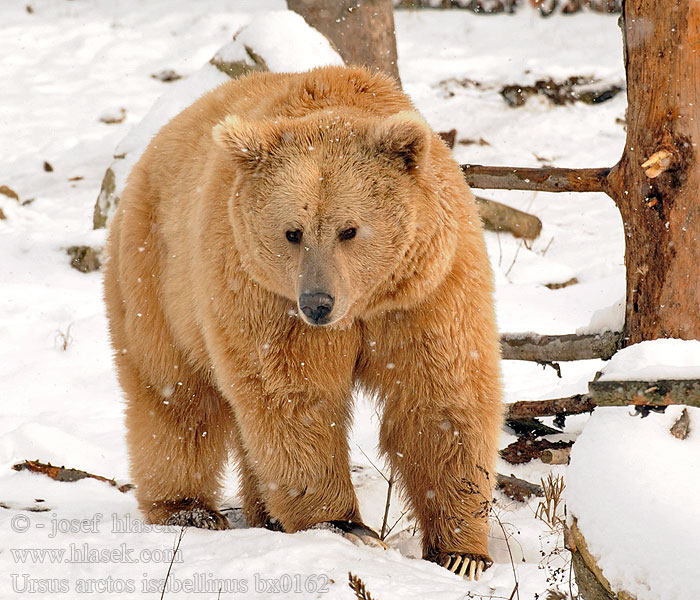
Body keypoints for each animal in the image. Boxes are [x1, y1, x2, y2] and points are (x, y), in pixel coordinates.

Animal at [101, 65, 500, 580]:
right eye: (293, 232)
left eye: (349, 229)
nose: (318, 303)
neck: (363, 304)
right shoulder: (262, 293)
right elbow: (294, 399)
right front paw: (345, 525)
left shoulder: (426, 289)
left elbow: (441, 395)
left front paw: (462, 553)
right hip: (157, 276)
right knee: (175, 396)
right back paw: (188, 509)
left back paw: (263, 511)